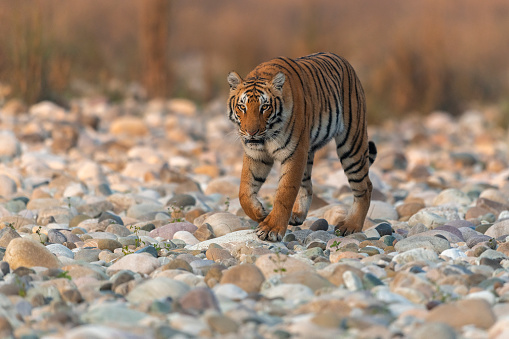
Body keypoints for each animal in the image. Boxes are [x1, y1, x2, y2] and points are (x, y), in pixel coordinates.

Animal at [228, 51, 376, 243]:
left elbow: (285, 192)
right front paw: (260, 213)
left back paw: (351, 226)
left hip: (351, 145)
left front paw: (271, 229)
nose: (251, 132)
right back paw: (297, 214)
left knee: (365, 186)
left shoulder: (294, 153)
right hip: (309, 151)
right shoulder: (256, 154)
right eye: (242, 107)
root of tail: (346, 63)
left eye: (265, 107)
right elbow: (244, 192)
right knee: (308, 185)